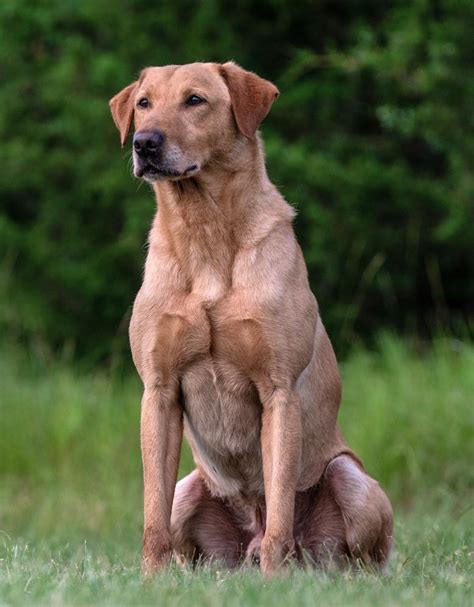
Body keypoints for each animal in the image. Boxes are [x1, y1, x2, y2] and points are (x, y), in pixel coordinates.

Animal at [110, 61, 392, 580]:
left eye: (195, 100)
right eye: (143, 103)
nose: (144, 143)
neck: (205, 234)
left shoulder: (278, 390)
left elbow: (279, 506)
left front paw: (274, 581)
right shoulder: (158, 391)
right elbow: (152, 513)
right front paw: (150, 582)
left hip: (353, 481)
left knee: (355, 555)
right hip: (189, 489)